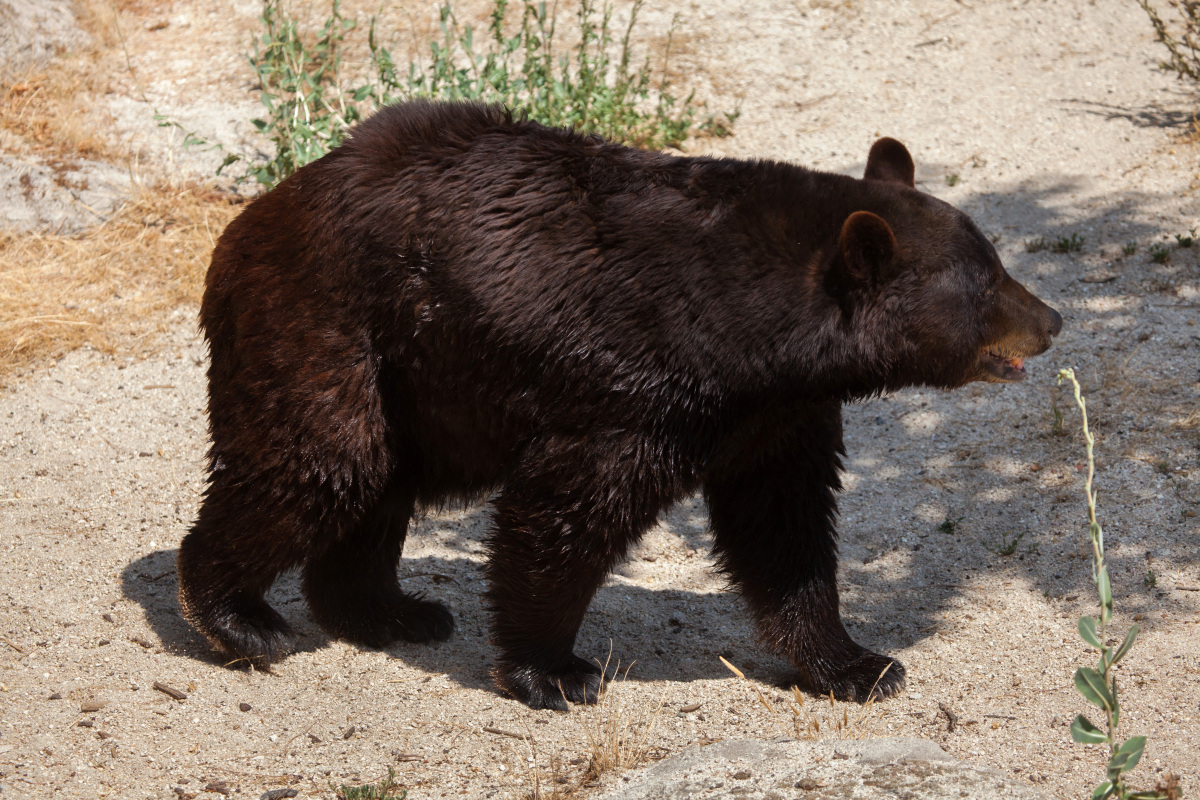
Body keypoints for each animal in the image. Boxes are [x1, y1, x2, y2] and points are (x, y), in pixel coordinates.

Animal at [177, 100, 1060, 705]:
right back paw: (238, 616)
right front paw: (555, 670)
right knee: (320, 460)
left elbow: (786, 532)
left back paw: (389, 611)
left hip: (415, 378)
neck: (754, 335)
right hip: (331, 323)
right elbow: (568, 510)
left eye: (994, 261)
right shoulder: (633, 386)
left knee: (376, 480)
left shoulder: (773, 418)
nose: (1051, 320)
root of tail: (261, 209)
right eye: (985, 283)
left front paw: (858, 664)